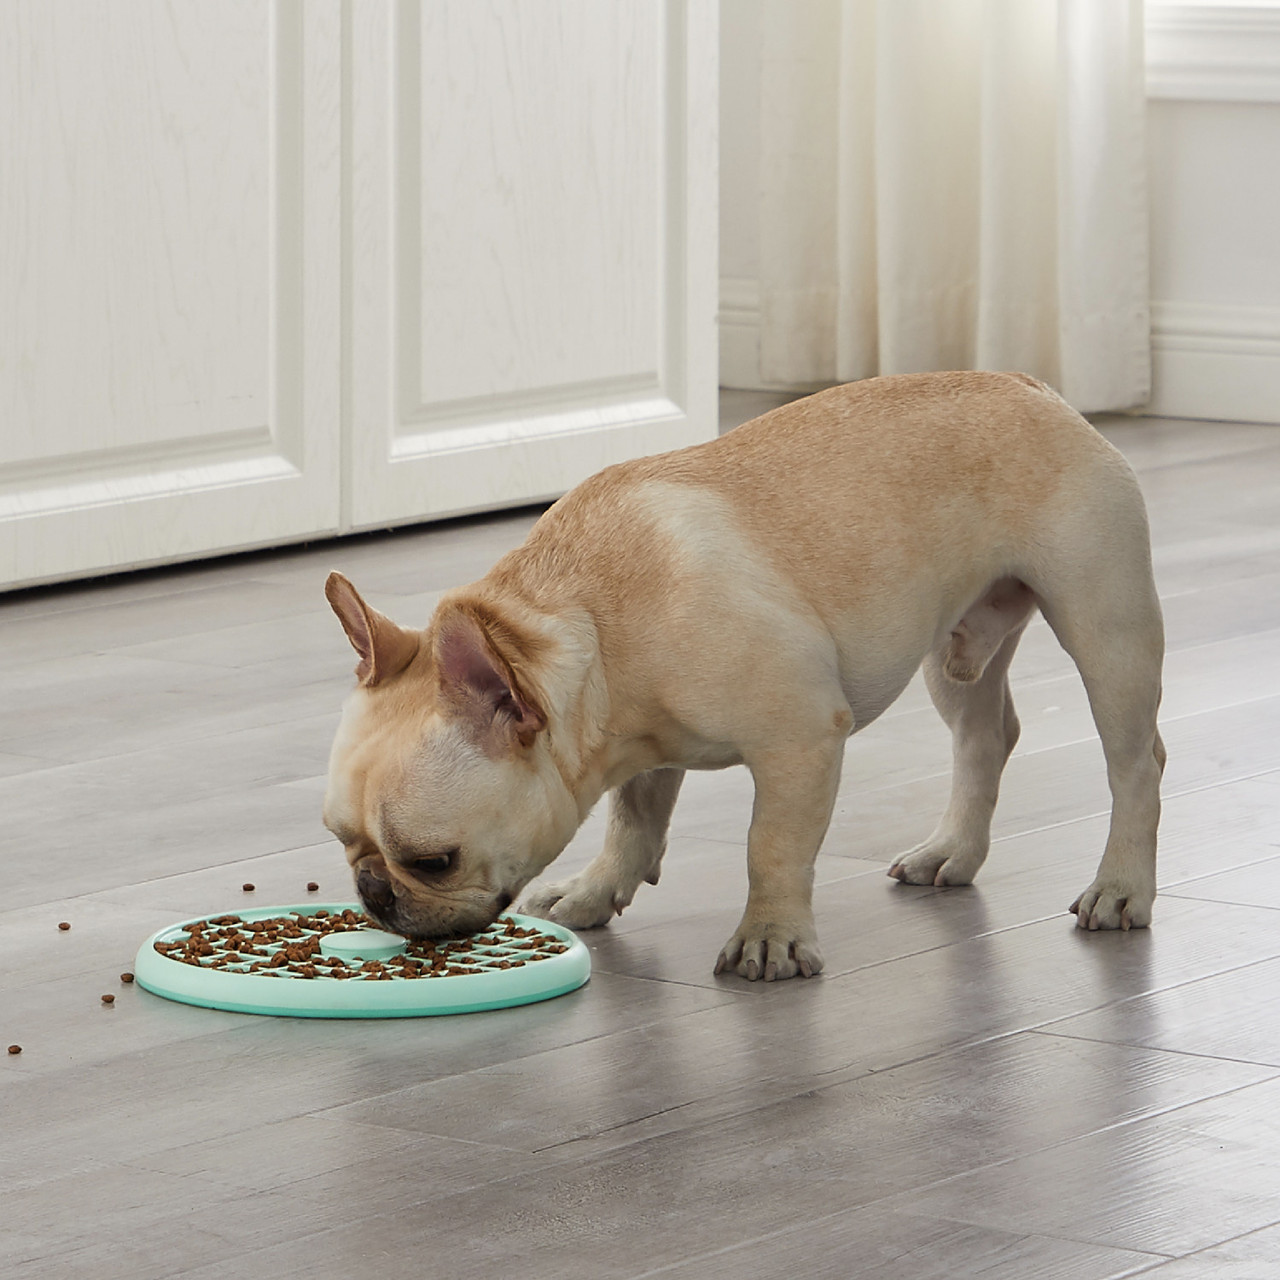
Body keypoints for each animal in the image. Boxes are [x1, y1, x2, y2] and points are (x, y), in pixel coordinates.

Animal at [325, 371, 1167, 977]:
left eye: (433, 861)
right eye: (341, 838)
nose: (373, 892)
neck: (584, 623)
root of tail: (1032, 387)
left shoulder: (800, 738)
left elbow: (772, 846)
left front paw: (772, 938)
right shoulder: (641, 749)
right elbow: (632, 822)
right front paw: (596, 890)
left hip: (1107, 628)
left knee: (1137, 762)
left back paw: (1120, 887)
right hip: (952, 657)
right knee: (984, 738)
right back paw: (951, 850)